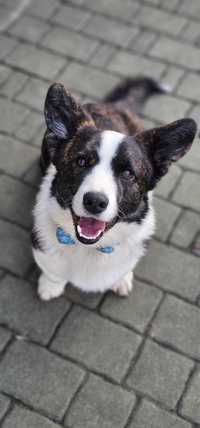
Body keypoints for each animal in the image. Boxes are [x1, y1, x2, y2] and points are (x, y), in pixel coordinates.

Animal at [32, 77, 196, 300]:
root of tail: (113, 106)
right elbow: (52, 272)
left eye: (128, 173)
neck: (92, 247)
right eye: (81, 161)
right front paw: (50, 287)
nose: (94, 201)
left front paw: (122, 280)